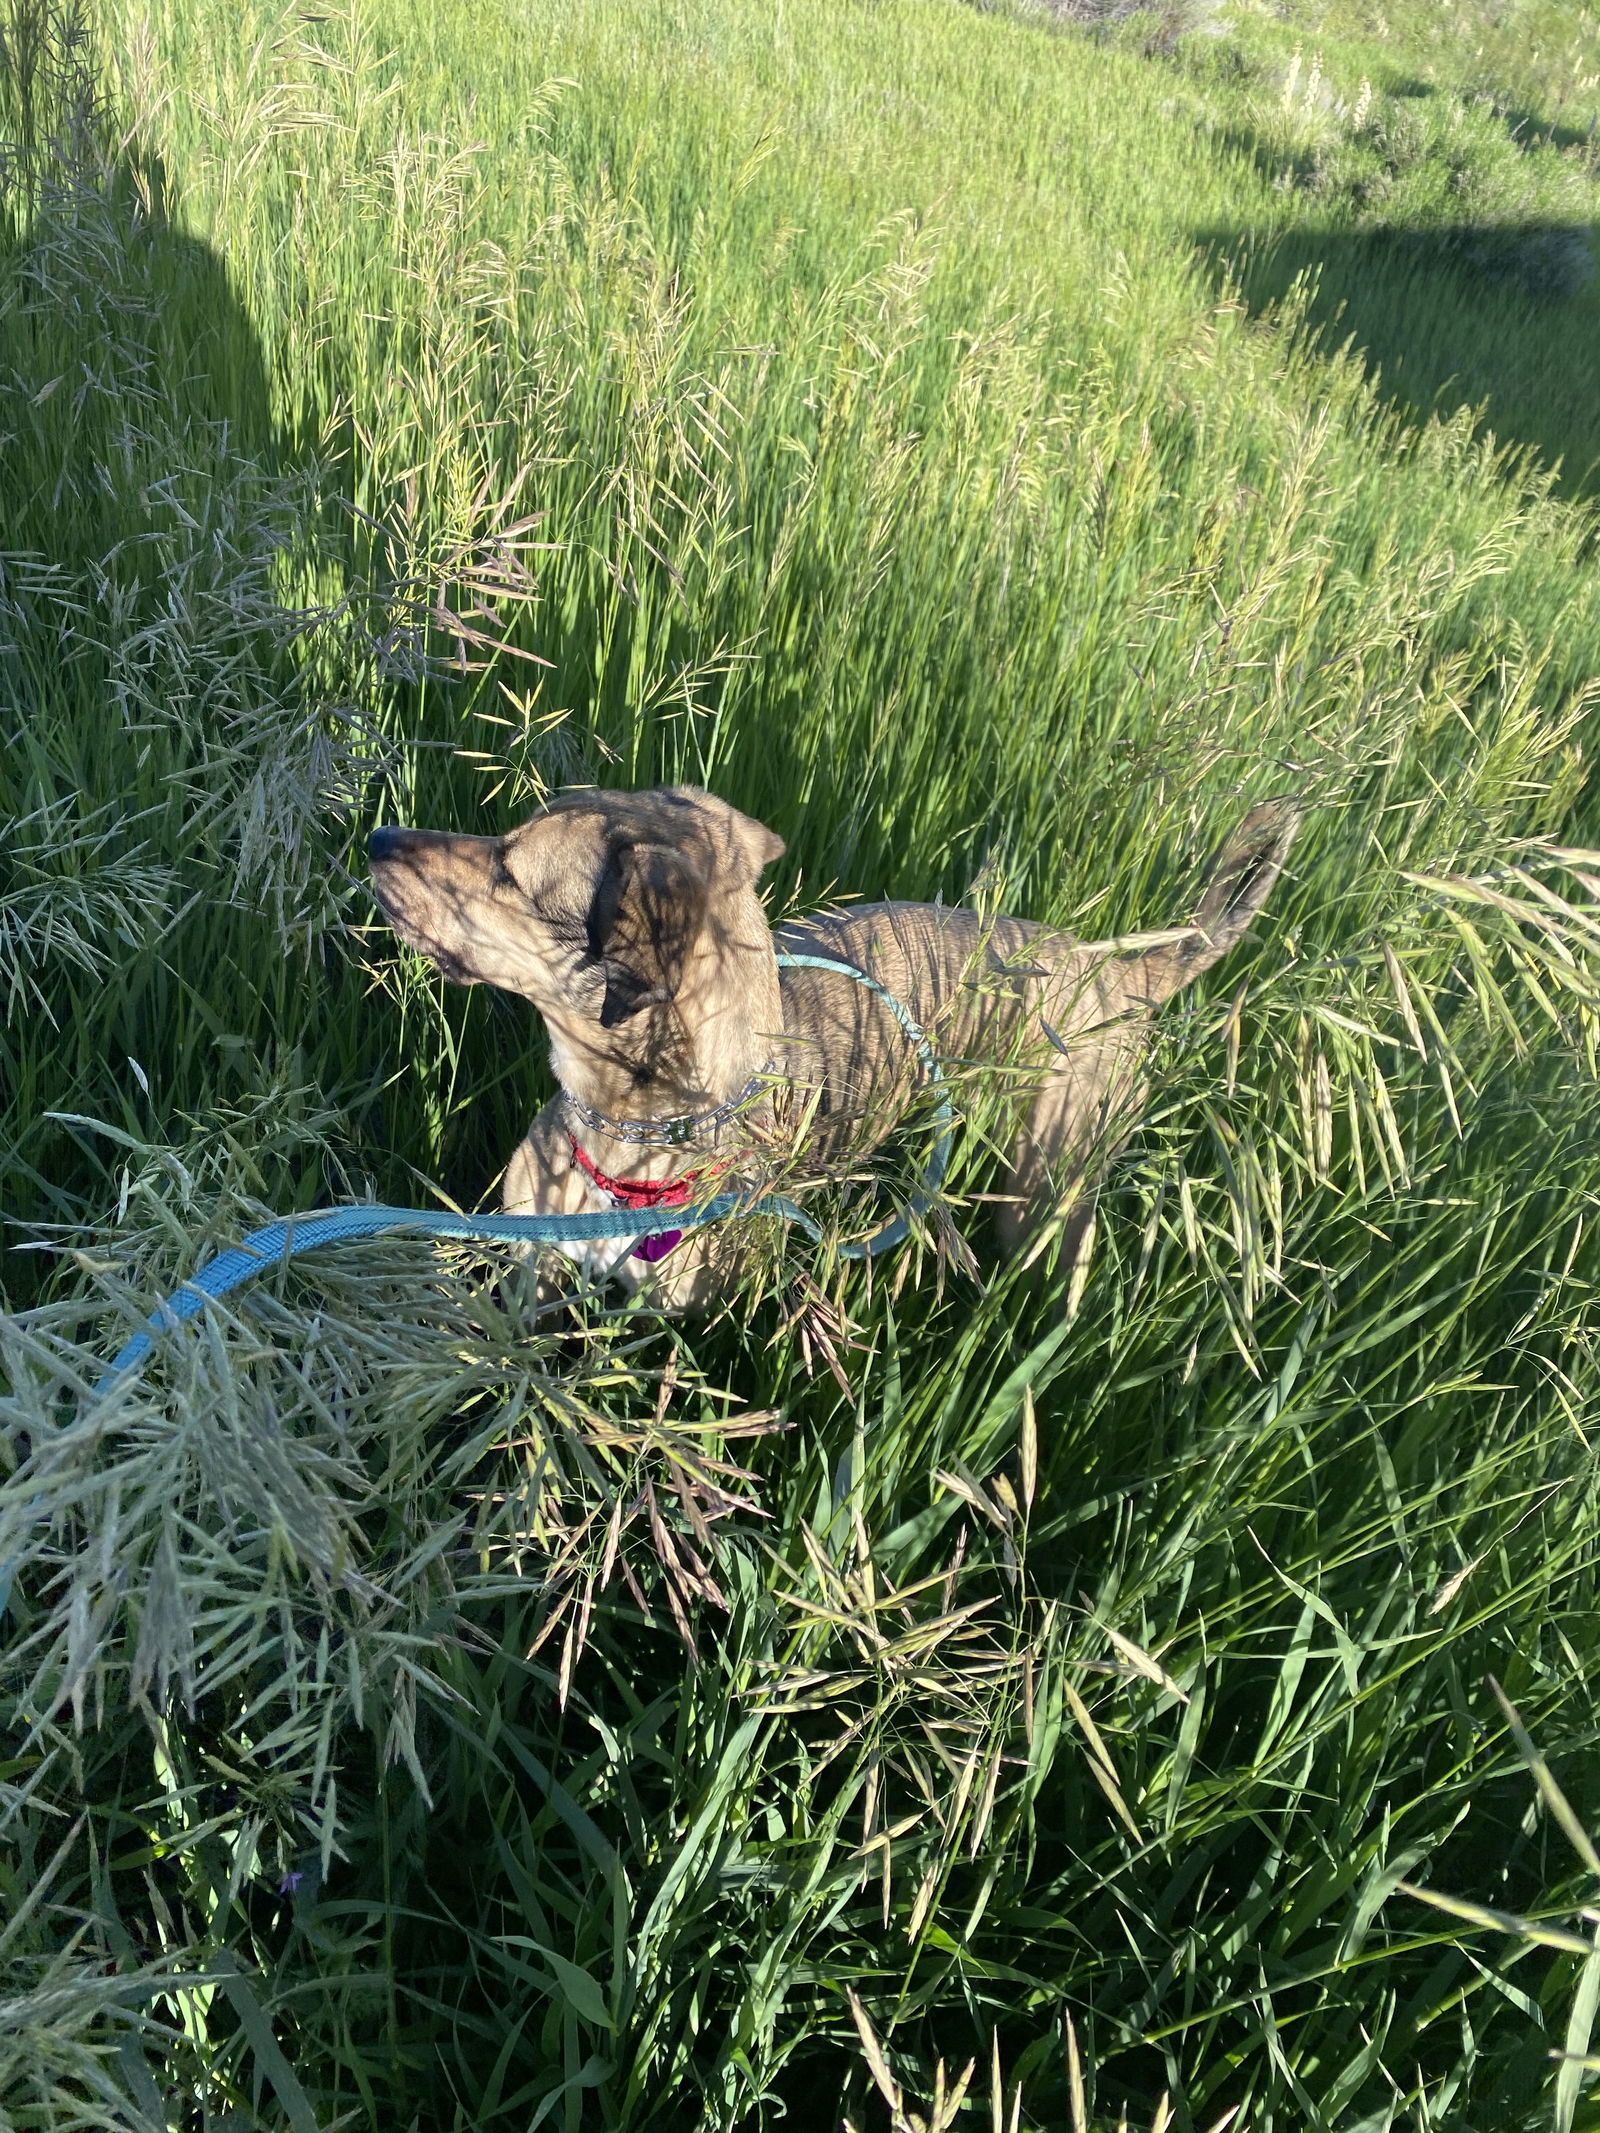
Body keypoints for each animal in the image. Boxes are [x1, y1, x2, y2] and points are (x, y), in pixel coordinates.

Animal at [369, 793, 1297, 1305]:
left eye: (510, 871)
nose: (376, 839)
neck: (636, 1130)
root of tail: (1117, 970)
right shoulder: (531, 1280)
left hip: (1045, 1194)